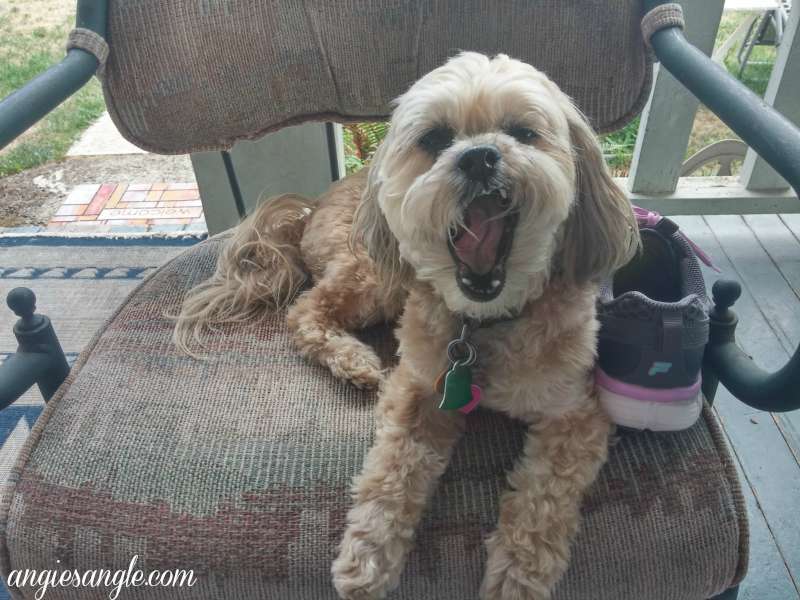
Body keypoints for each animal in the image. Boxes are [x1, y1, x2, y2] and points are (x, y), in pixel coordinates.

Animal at [173, 52, 636, 600]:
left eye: (523, 132)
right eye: (435, 139)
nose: (479, 157)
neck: (482, 326)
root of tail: (313, 205)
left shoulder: (577, 413)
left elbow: (543, 498)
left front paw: (518, 572)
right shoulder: (415, 385)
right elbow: (393, 470)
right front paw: (368, 553)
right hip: (376, 274)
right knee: (306, 310)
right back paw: (353, 359)